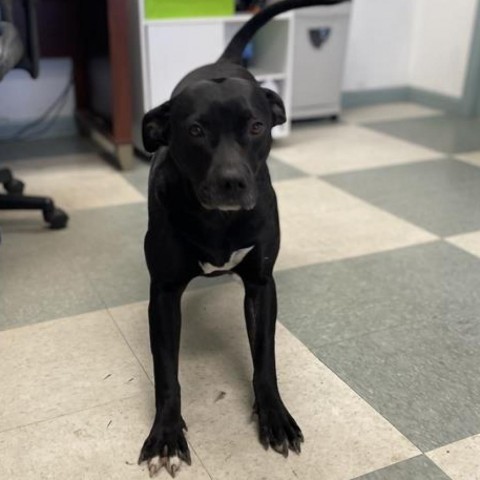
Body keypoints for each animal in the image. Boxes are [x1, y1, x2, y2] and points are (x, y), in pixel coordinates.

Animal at [141, 0, 346, 474]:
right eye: (195, 130)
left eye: (256, 126)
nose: (232, 181)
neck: (217, 220)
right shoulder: (163, 294)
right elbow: (166, 372)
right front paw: (166, 433)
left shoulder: (260, 285)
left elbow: (264, 358)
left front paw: (274, 415)